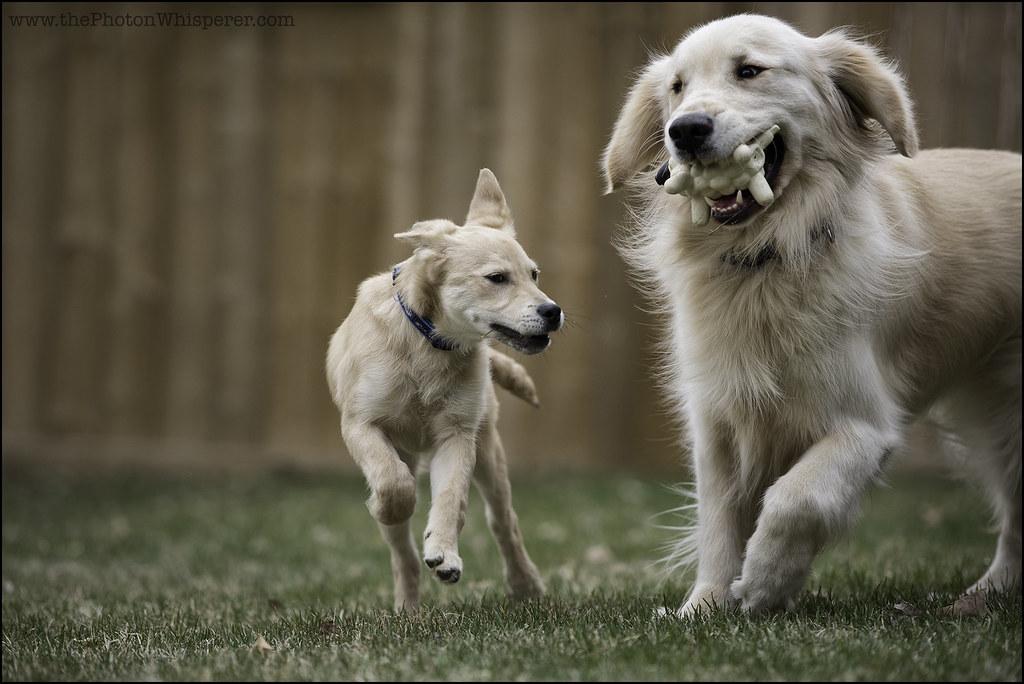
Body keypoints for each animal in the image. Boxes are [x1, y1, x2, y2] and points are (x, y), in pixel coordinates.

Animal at [325, 167, 561, 610]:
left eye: (534, 275)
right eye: (497, 278)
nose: (553, 311)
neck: (429, 346)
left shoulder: (457, 434)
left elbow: (451, 498)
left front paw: (445, 553)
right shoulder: (360, 424)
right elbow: (393, 483)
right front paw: (388, 505)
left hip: (487, 449)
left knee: (502, 521)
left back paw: (525, 584)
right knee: (401, 549)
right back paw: (407, 607)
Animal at [602, 14, 1019, 614]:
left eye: (749, 70)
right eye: (677, 87)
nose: (685, 129)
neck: (768, 254)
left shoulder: (864, 426)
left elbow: (796, 498)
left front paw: (764, 580)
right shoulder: (719, 420)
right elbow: (718, 521)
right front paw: (703, 607)